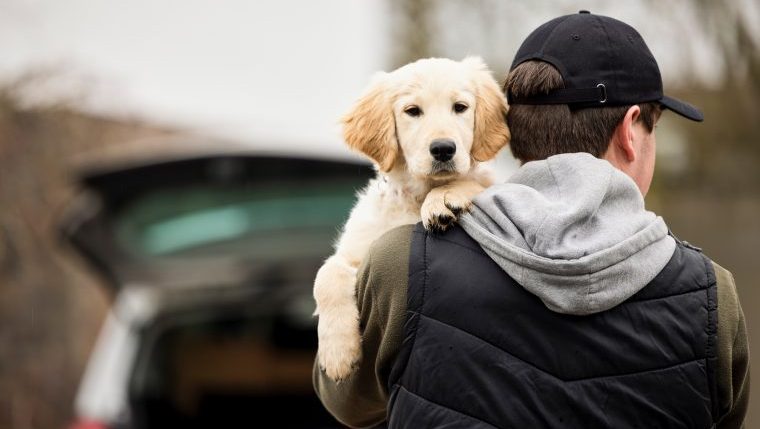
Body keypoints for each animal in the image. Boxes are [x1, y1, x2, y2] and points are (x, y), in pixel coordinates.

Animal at [312, 56, 508, 378]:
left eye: (460, 107)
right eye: (413, 111)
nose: (443, 149)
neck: (416, 196)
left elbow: (475, 182)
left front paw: (444, 198)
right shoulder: (357, 251)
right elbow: (326, 275)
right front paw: (337, 353)